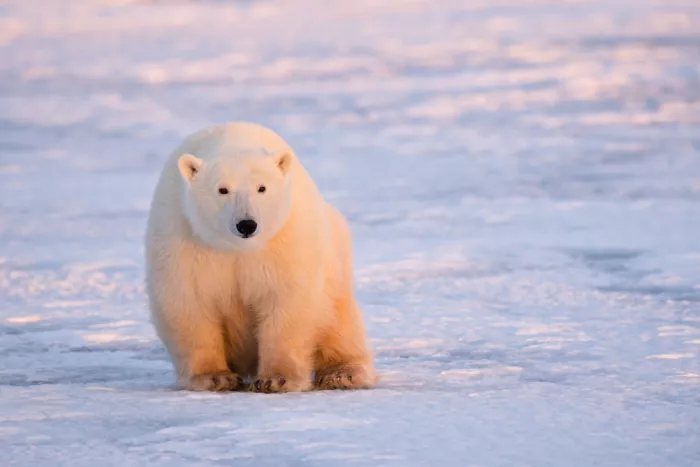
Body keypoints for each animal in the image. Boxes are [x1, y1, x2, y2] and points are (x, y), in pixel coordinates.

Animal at [144, 122, 376, 393]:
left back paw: (343, 373)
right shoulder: (183, 236)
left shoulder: (285, 239)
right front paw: (214, 377)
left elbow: (287, 301)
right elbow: (189, 301)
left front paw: (276, 379)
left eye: (261, 188)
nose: (246, 224)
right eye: (222, 189)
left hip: (335, 264)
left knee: (340, 321)